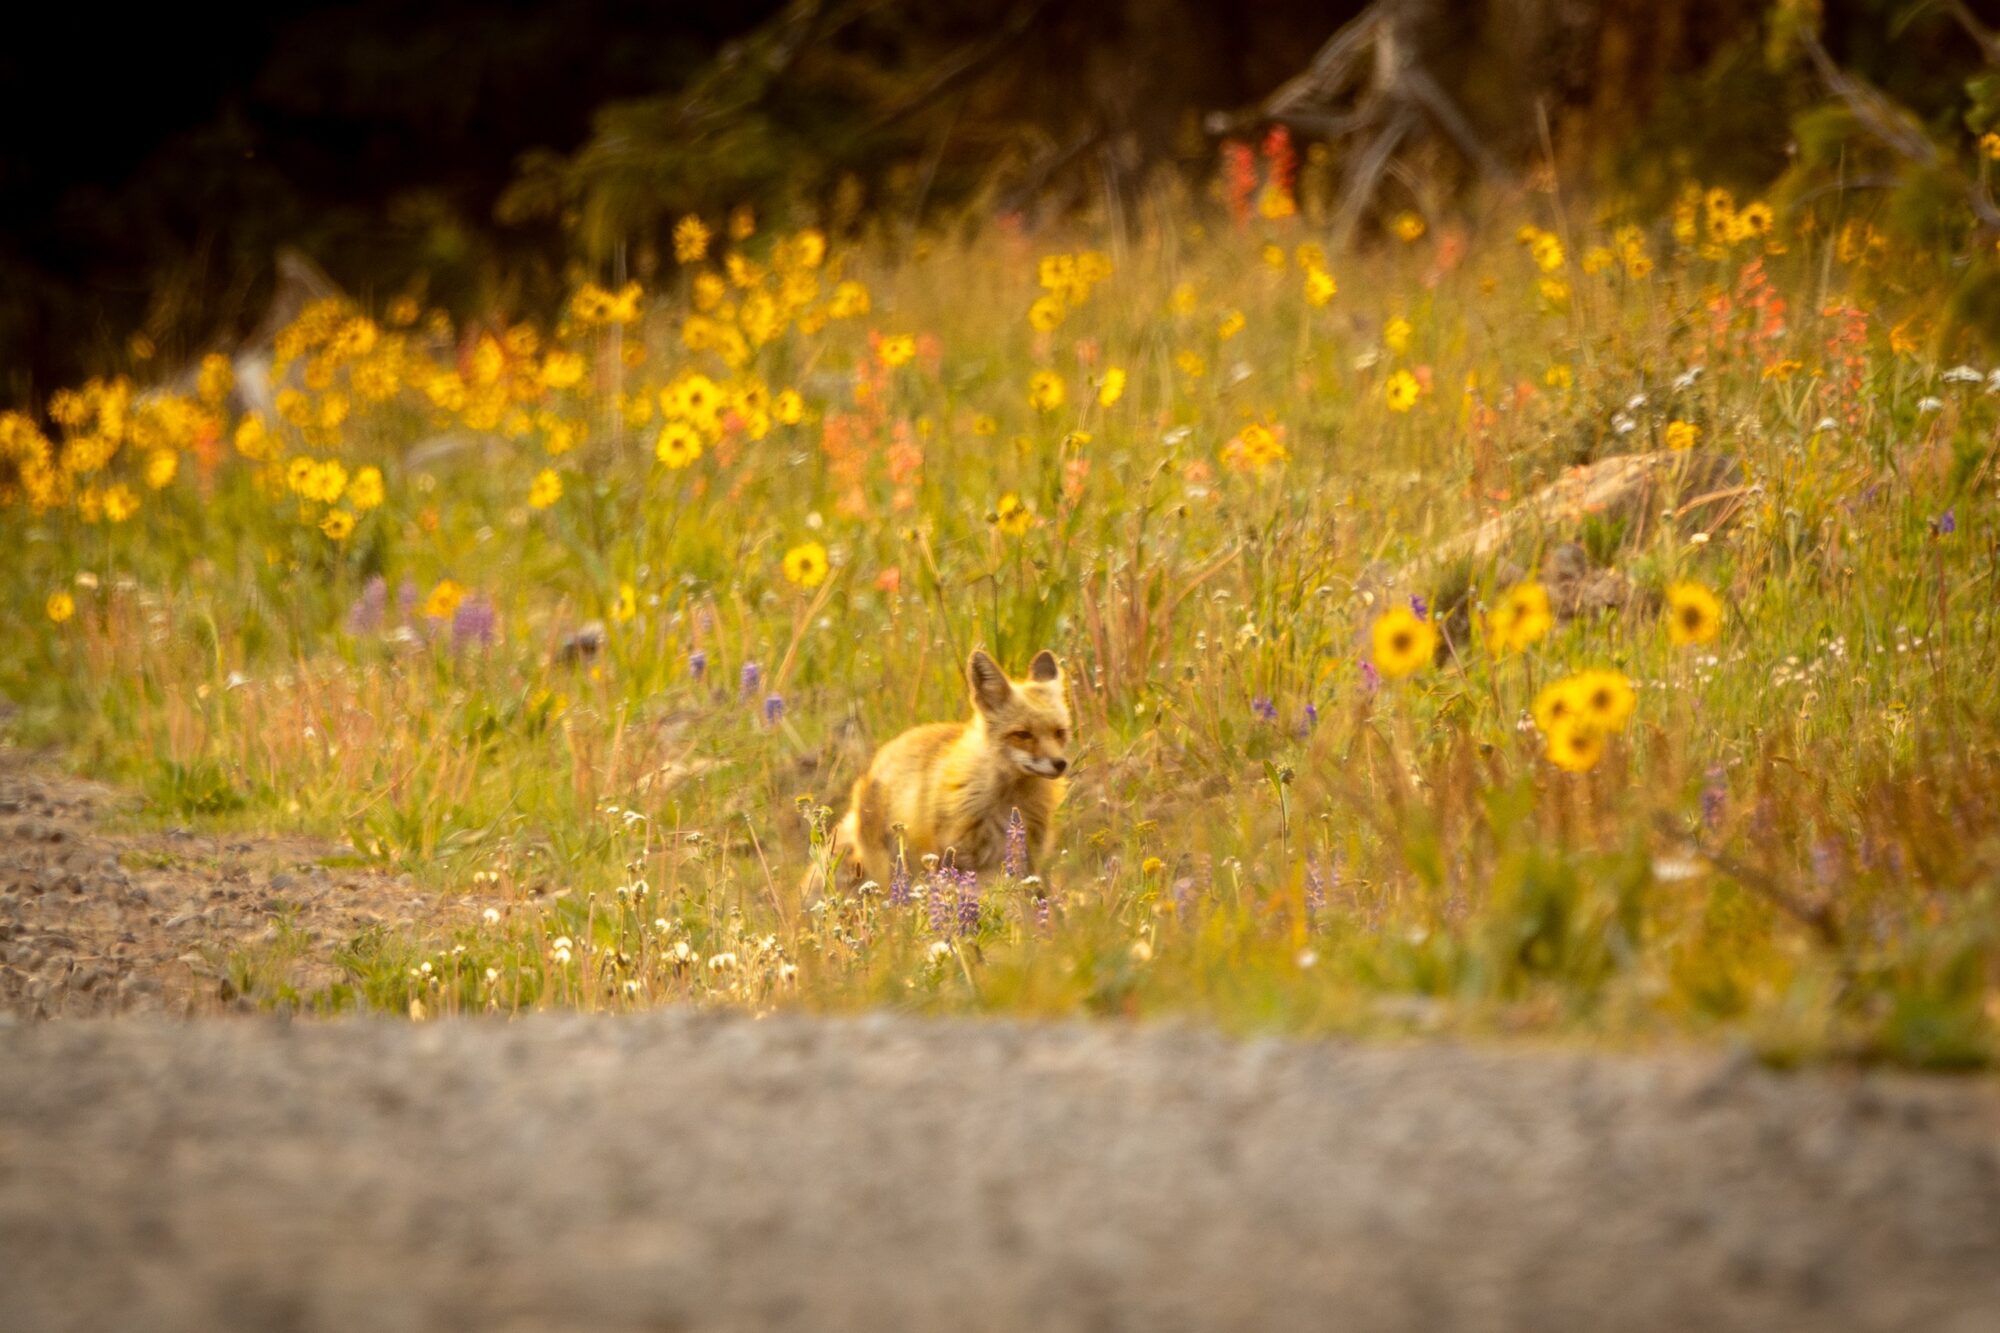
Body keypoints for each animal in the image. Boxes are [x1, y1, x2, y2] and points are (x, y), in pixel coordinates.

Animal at [827, 649, 1071, 890]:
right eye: (1023, 734)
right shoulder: (959, 857)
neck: (1009, 799)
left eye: (1060, 732)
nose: (1060, 763)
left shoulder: (1029, 857)